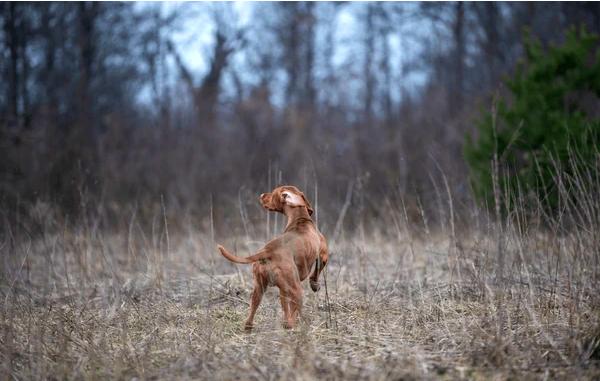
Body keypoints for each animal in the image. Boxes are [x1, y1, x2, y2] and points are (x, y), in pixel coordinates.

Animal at [217, 186, 328, 328]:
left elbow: (286, 307)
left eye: (273, 193)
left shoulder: (283, 290)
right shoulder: (323, 256)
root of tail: (267, 251)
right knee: (291, 318)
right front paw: (315, 285)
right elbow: (316, 273)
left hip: (259, 289)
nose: (261, 195)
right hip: (296, 290)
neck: (300, 218)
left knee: (252, 318)